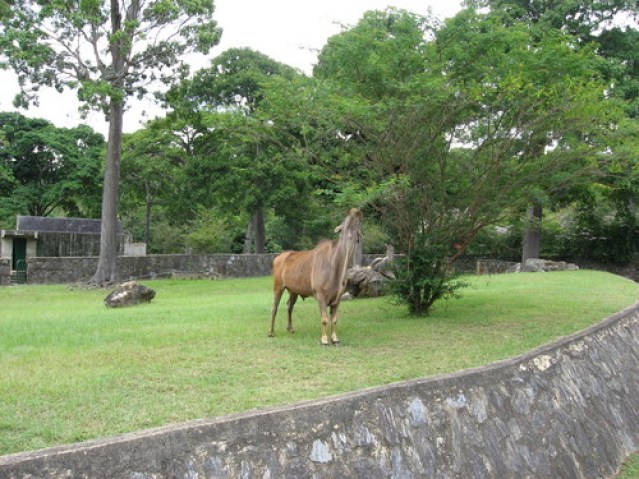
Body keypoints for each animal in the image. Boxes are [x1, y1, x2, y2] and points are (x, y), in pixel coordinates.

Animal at [268, 208, 362, 346]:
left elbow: (334, 319)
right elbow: (324, 319)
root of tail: (278, 257)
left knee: (289, 306)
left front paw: (335, 339)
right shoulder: (321, 295)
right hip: (278, 287)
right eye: (343, 226)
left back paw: (290, 329)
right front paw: (324, 340)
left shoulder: (338, 298)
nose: (355, 211)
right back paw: (271, 332)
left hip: (293, 291)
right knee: (274, 307)